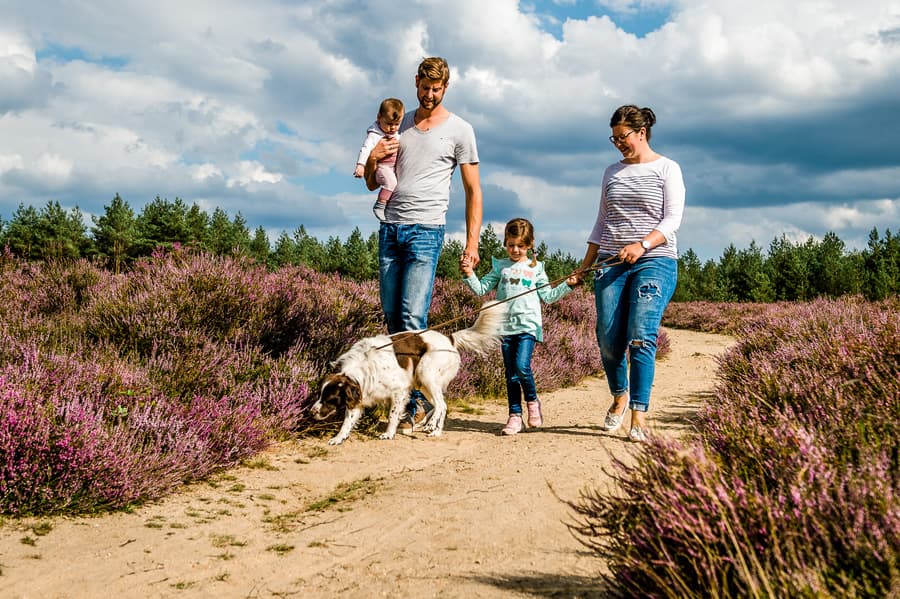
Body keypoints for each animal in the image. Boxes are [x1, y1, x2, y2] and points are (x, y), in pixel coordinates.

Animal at [310, 300, 506, 446]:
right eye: (320, 395)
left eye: (330, 398)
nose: (311, 412)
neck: (364, 365)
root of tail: (449, 339)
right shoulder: (360, 395)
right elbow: (347, 421)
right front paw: (338, 438)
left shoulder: (399, 391)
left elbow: (392, 415)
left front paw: (388, 434)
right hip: (423, 382)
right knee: (438, 405)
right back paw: (429, 426)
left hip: (427, 374)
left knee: (442, 405)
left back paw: (433, 429)